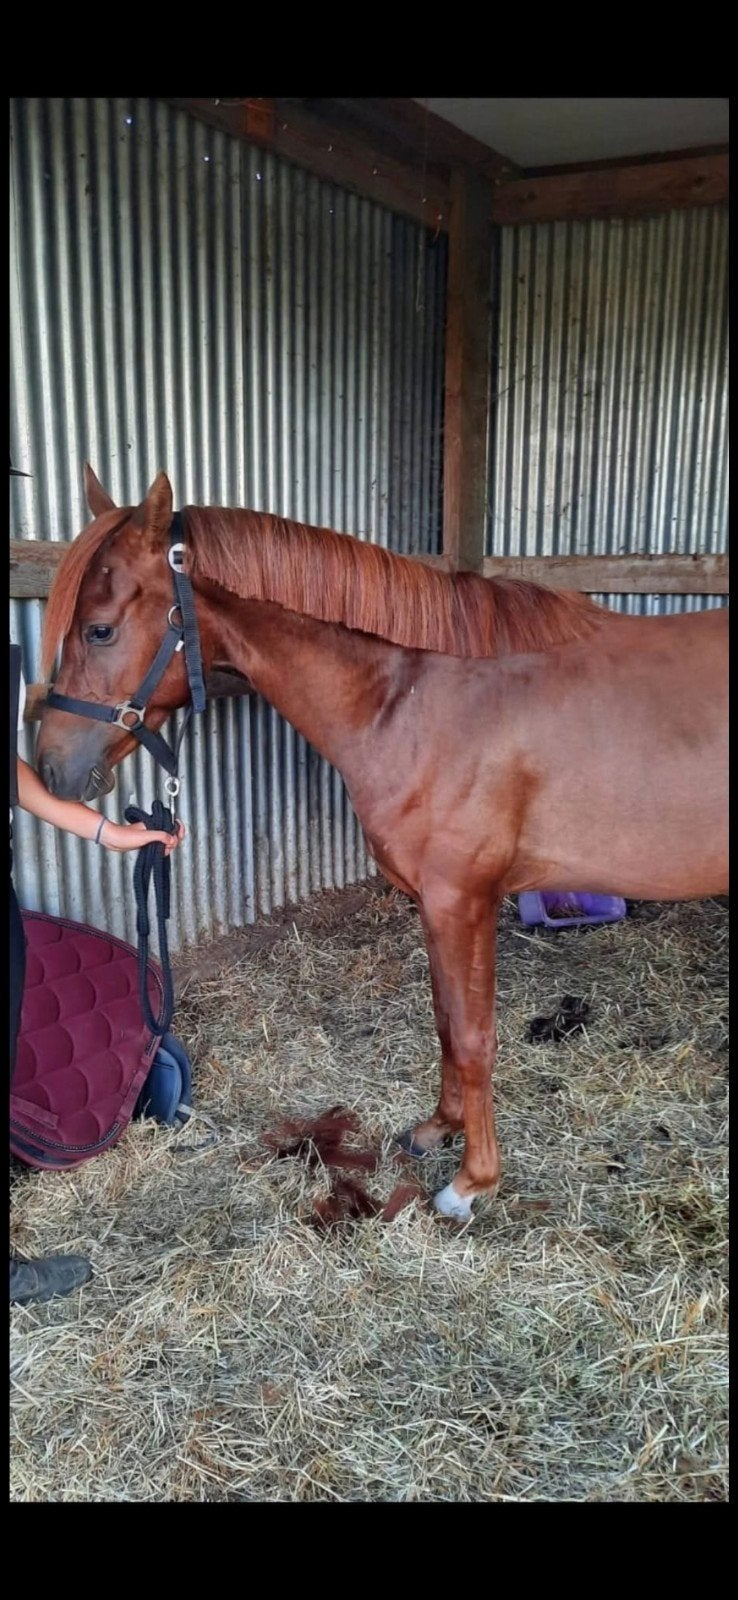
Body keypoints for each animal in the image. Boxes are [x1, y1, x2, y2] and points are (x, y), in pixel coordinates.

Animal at [35, 467, 729, 1221]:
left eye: (100, 629)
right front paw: (438, 1129)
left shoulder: (462, 900)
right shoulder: (437, 902)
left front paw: (471, 1182)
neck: (421, 694)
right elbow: (446, 1021)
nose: (48, 767)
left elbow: (474, 1035)